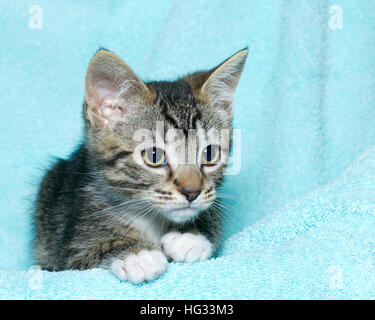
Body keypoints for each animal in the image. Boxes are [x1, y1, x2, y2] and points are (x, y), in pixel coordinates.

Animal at [33, 47, 250, 282]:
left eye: (209, 154)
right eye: (154, 156)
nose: (192, 193)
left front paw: (191, 236)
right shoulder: (67, 254)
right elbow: (90, 251)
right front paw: (137, 254)